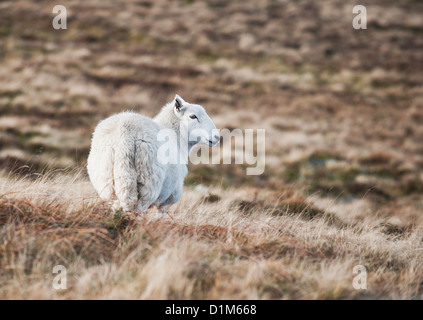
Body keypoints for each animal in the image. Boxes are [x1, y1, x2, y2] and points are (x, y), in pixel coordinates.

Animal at [85, 95, 219, 215]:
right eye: (193, 116)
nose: (217, 137)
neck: (177, 139)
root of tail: (125, 134)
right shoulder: (167, 201)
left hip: (108, 182)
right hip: (148, 184)